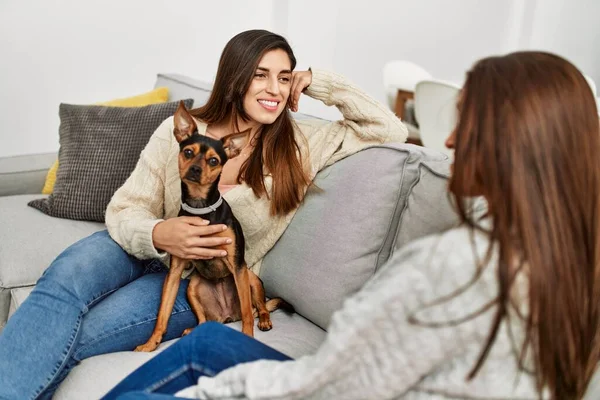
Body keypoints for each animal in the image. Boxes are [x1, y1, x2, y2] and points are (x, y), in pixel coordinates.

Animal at [135, 101, 288, 352]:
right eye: (188, 152)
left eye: (214, 161)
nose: (196, 169)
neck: (201, 207)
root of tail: (228, 316)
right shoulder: (175, 271)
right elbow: (162, 315)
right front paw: (150, 344)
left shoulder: (237, 266)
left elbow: (248, 316)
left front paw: (247, 337)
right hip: (193, 287)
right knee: (204, 319)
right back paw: (192, 329)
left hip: (249, 278)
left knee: (257, 308)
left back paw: (264, 320)